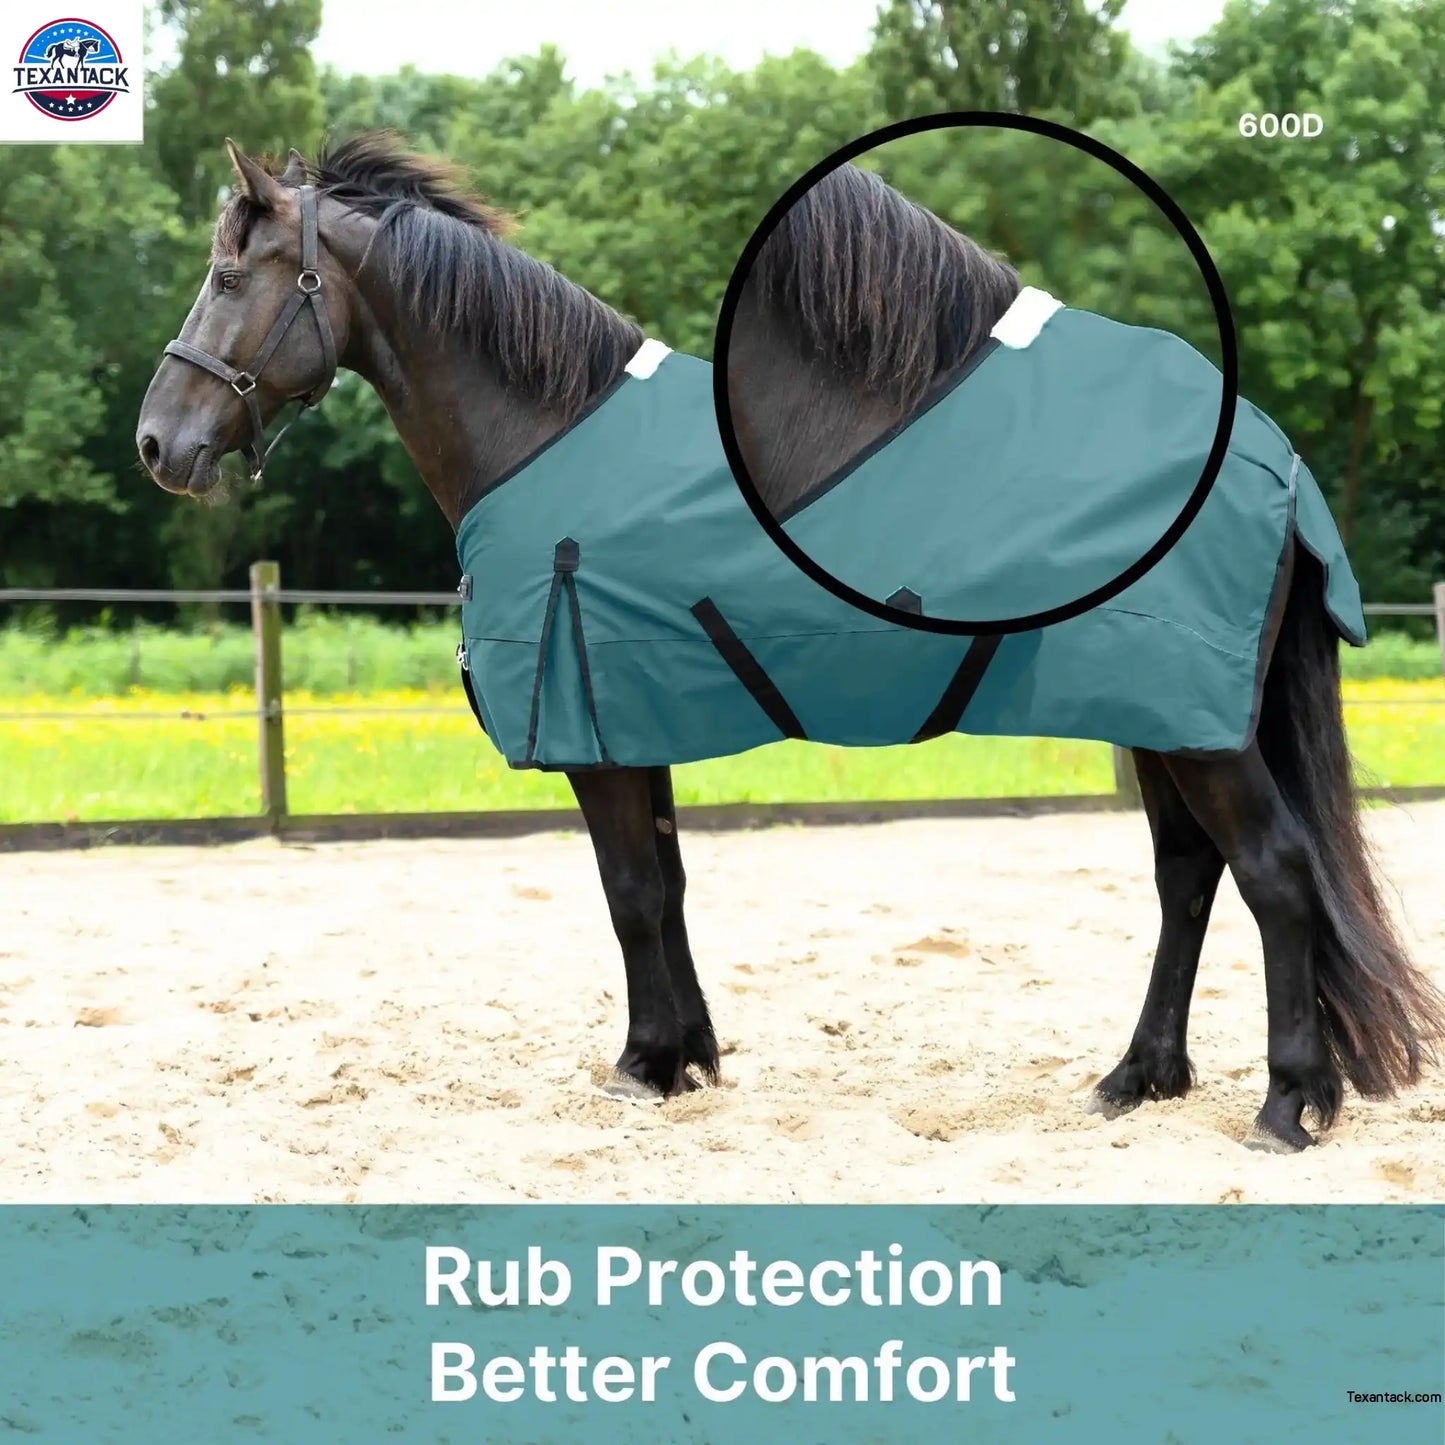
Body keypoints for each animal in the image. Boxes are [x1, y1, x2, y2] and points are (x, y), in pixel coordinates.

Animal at [135, 134, 1444, 1152]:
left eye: (227, 273)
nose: (158, 442)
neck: (544, 434)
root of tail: (1268, 455)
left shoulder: (597, 736)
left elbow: (626, 892)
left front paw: (643, 1063)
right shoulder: (634, 720)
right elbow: (663, 885)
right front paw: (688, 1055)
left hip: (1191, 723)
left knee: (1272, 872)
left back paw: (1286, 1105)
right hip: (1160, 716)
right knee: (1188, 877)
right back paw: (1136, 1078)